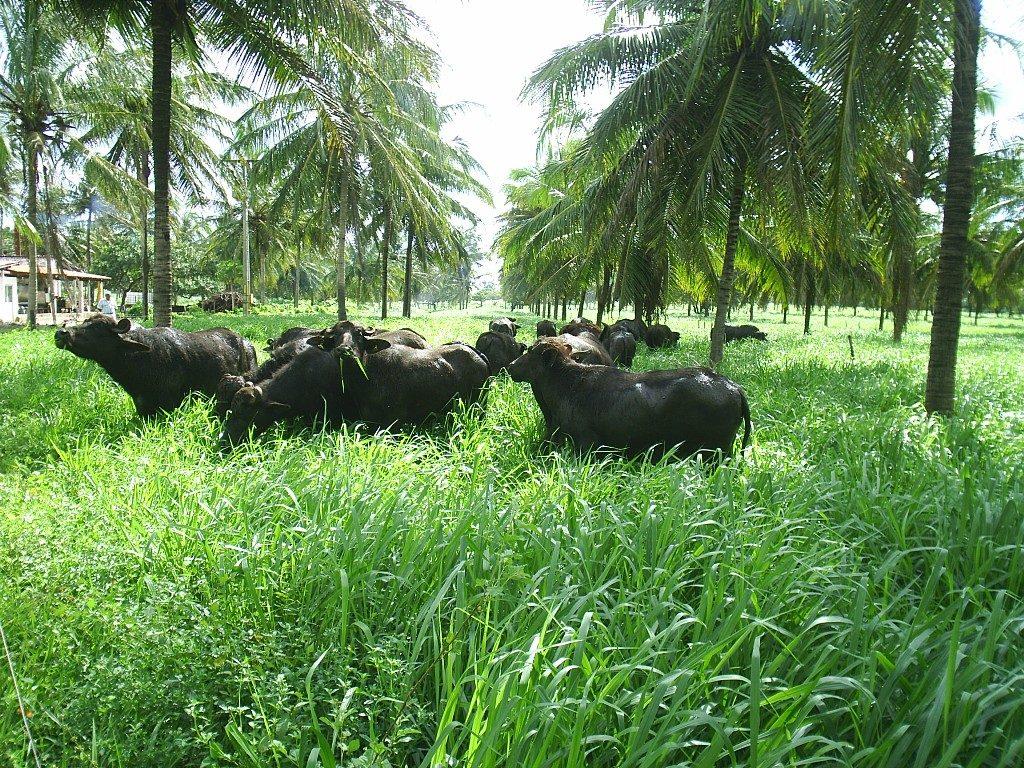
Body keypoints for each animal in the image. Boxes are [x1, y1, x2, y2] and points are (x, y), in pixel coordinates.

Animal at [55, 313, 256, 417]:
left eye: (97, 328)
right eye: (84, 322)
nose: (61, 333)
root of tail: (246, 344)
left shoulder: (170, 402)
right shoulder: (142, 405)